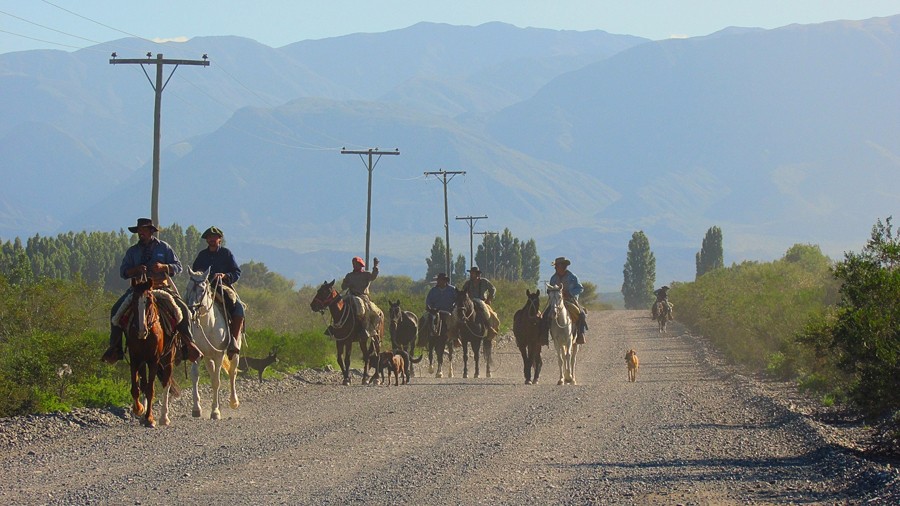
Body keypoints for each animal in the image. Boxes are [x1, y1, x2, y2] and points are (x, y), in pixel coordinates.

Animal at [124, 276, 178, 426]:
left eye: (148, 300)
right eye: (133, 300)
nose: (141, 331)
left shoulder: (154, 360)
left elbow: (150, 389)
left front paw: (149, 418)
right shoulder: (135, 358)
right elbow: (136, 388)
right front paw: (139, 409)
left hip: (168, 359)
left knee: (166, 383)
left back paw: (164, 417)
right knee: (143, 383)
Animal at [185, 266, 241, 422]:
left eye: (202, 289)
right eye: (187, 288)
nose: (191, 309)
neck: (207, 324)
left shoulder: (219, 354)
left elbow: (216, 381)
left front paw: (215, 412)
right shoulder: (197, 354)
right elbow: (195, 377)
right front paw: (196, 409)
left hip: (234, 352)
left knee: (232, 372)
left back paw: (234, 402)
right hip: (208, 357)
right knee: (212, 371)